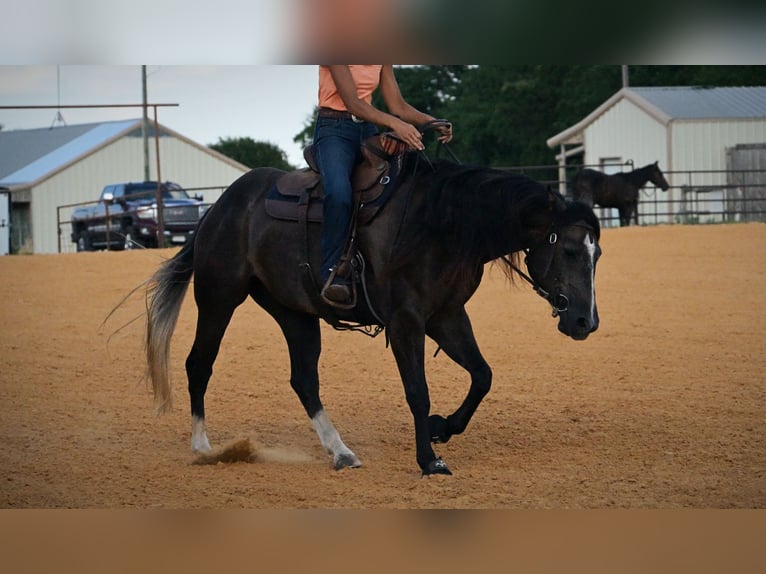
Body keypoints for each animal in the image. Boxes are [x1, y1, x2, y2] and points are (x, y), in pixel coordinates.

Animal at [144, 142, 602, 476]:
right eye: (571, 250)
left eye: (597, 253)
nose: (586, 321)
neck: (443, 224)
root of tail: (219, 208)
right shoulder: (405, 321)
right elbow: (417, 391)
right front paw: (429, 460)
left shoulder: (447, 315)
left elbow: (482, 376)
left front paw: (443, 428)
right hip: (218, 298)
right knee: (199, 364)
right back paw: (203, 447)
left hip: (294, 312)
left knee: (304, 380)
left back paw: (341, 452)